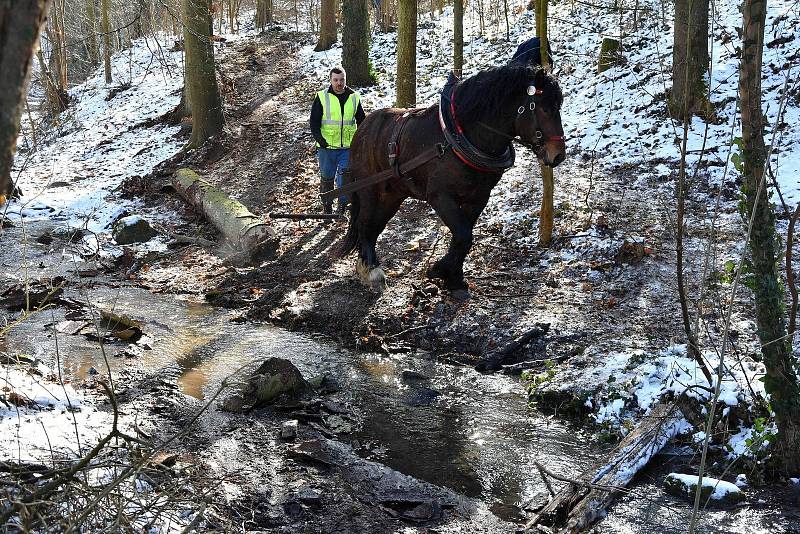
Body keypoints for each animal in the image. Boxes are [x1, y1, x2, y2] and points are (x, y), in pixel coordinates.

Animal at [340, 65, 564, 296]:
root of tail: (363, 128)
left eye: (558, 106)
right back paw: (372, 271)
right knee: (365, 224)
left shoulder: (478, 198)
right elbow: (464, 235)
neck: (461, 137)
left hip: (392, 195)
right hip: (369, 190)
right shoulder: (440, 196)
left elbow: (462, 236)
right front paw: (439, 270)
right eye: (544, 108)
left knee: (375, 226)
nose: (558, 155)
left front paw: (453, 277)